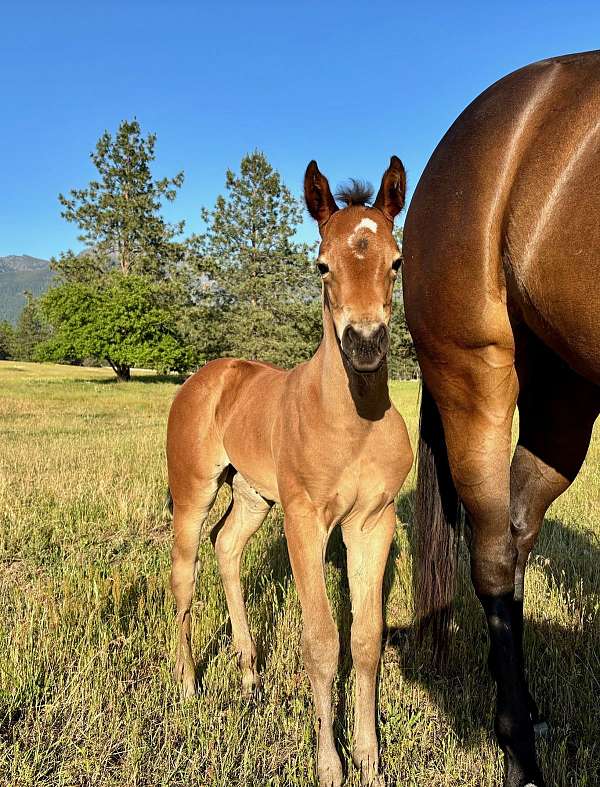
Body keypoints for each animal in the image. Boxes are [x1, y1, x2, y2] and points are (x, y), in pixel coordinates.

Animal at [167, 156, 412, 787]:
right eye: (321, 264)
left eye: (396, 261)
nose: (366, 345)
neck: (352, 422)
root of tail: (210, 374)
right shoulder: (305, 520)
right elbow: (322, 641)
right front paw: (329, 762)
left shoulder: (372, 524)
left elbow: (366, 639)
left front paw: (370, 758)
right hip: (193, 491)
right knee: (184, 573)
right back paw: (189, 683)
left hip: (254, 497)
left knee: (227, 546)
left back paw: (250, 675)